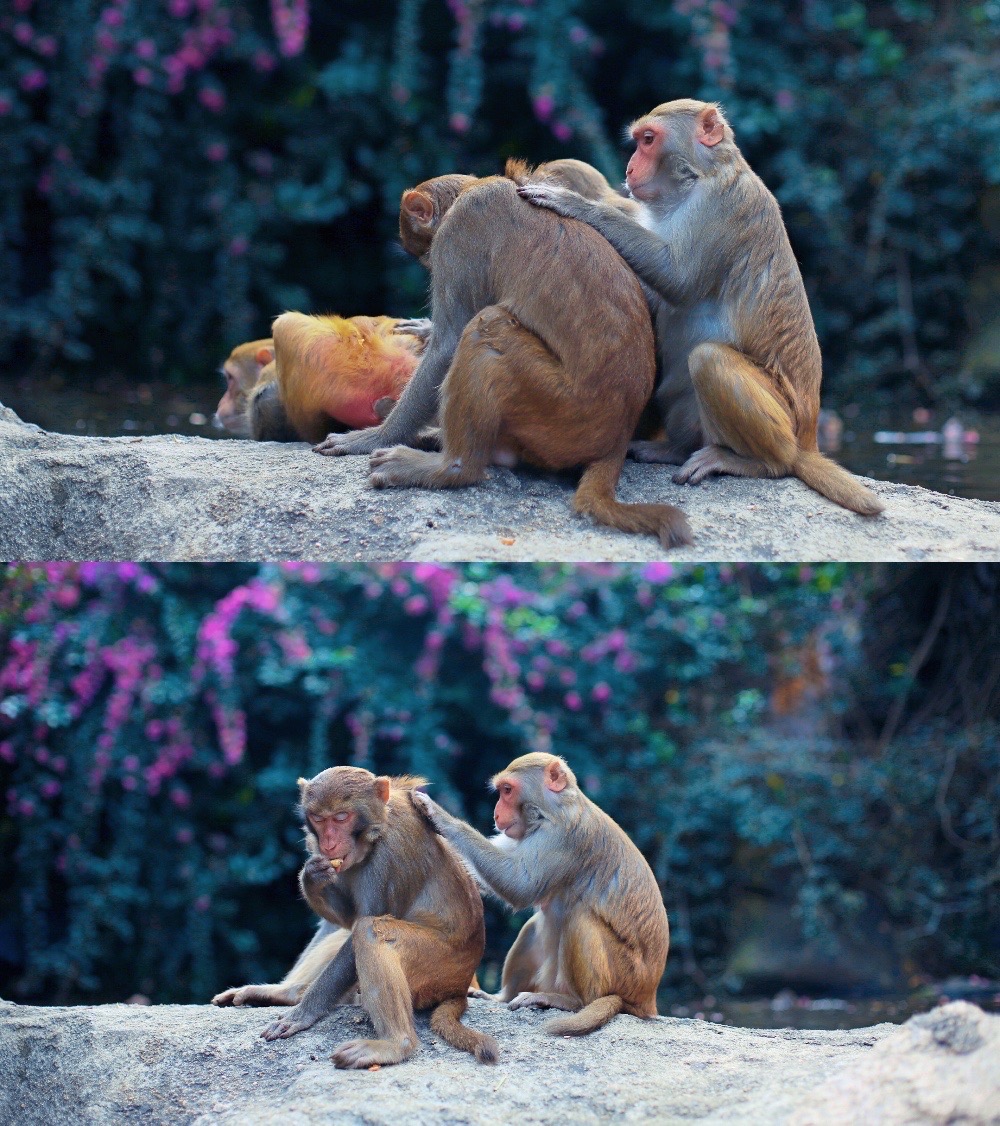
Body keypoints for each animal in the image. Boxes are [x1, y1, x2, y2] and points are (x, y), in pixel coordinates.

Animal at [252, 770, 497, 1067]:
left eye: (341, 817)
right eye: (319, 819)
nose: (328, 843)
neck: (376, 831)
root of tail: (459, 987)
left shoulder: (389, 854)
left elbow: (363, 925)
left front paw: (301, 1015)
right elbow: (348, 919)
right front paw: (311, 876)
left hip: (437, 966)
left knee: (370, 931)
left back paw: (396, 1044)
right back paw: (282, 993)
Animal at [315, 163, 689, 549]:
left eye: (426, 254)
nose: (428, 264)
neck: (474, 188)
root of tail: (617, 439)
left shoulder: (461, 231)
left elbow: (449, 343)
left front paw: (374, 437)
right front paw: (424, 330)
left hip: (558, 409)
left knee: (486, 329)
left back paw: (450, 467)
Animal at [409, 756, 666, 1035]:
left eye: (507, 790)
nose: (496, 814)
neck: (554, 810)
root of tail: (647, 999)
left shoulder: (563, 837)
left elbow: (520, 885)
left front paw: (438, 815)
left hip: (626, 975)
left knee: (580, 919)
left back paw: (571, 1001)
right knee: (535, 925)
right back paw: (500, 998)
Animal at [515, 99, 882, 515]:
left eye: (647, 140)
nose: (628, 169)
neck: (699, 178)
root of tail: (807, 439)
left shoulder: (723, 205)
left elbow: (679, 280)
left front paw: (575, 203)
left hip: (785, 426)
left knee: (710, 360)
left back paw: (756, 462)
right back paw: (674, 450)